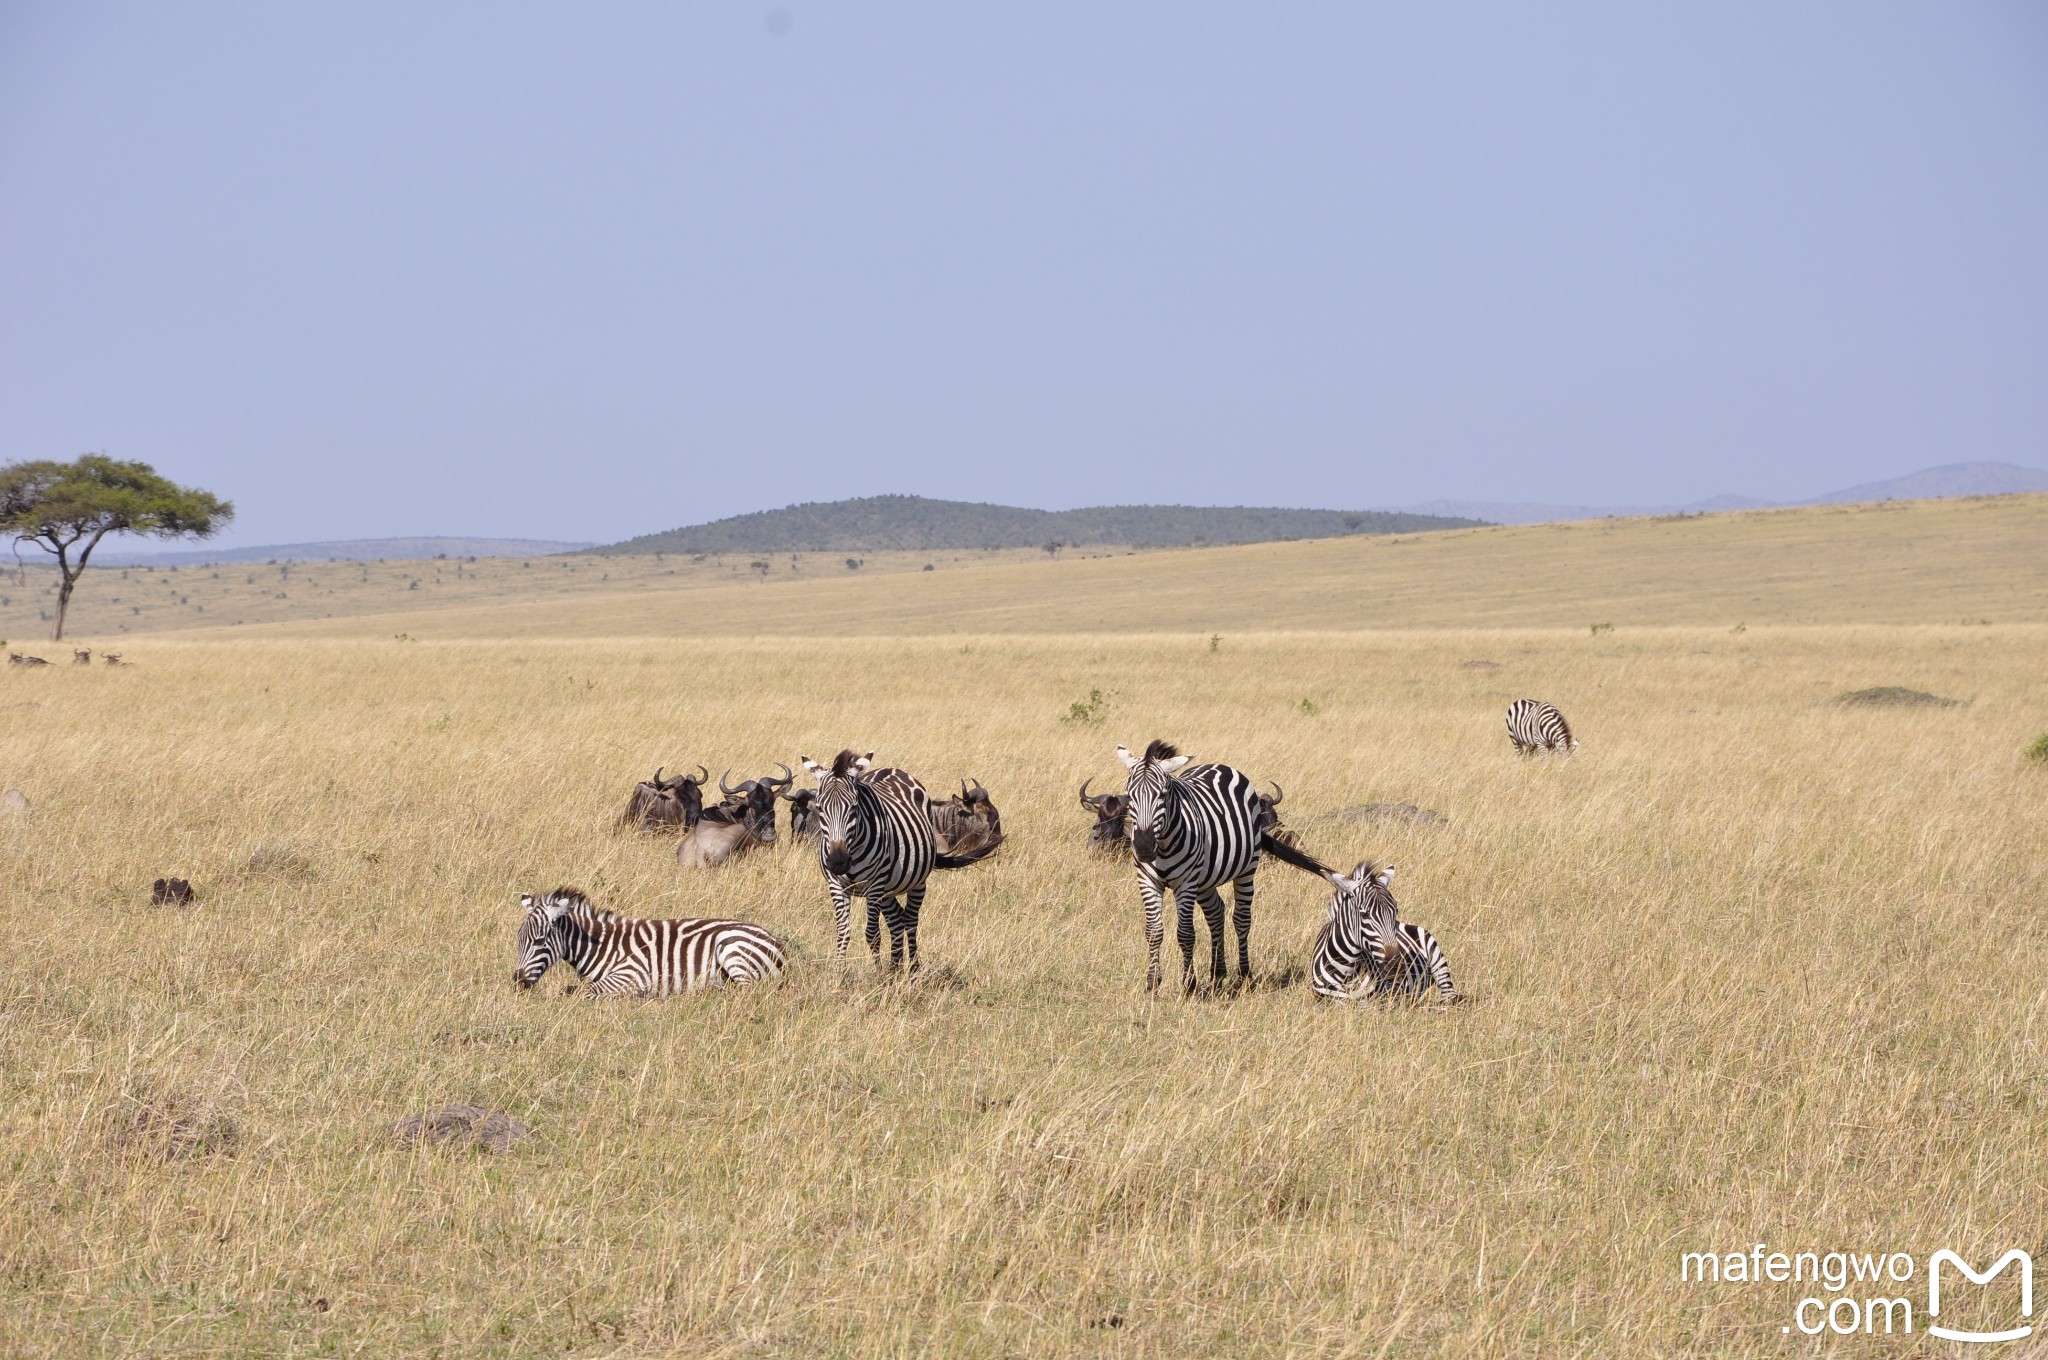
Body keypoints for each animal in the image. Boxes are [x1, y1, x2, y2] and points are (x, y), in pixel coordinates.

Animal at [516, 888, 786, 995]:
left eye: (539, 941)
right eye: (519, 940)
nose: (517, 983)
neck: (602, 946)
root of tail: (775, 940)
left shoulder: (632, 973)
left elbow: (583, 992)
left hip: (731, 948)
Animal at [798, 749, 999, 970]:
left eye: (854, 808)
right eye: (820, 808)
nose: (838, 862)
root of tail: (892, 769)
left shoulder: (875, 884)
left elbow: (872, 934)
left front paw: (877, 975)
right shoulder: (836, 884)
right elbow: (843, 932)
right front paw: (839, 973)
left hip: (916, 882)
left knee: (910, 921)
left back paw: (913, 969)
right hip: (887, 889)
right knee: (896, 920)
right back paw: (894, 967)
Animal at [1114, 737, 1335, 995]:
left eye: (1163, 794)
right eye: (1129, 796)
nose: (1144, 847)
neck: (1164, 847)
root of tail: (1219, 766)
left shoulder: (1186, 882)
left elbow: (1185, 933)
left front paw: (1189, 984)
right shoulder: (1147, 880)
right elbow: (1153, 932)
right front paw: (1152, 984)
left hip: (1246, 869)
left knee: (1241, 919)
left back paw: (1244, 975)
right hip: (1205, 879)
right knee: (1216, 912)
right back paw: (1218, 973)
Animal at [1310, 864, 1458, 1003]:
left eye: (1395, 911)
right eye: (1364, 914)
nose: (1395, 966)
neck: (1346, 970)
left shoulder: (1389, 994)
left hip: (1439, 963)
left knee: (1449, 997)